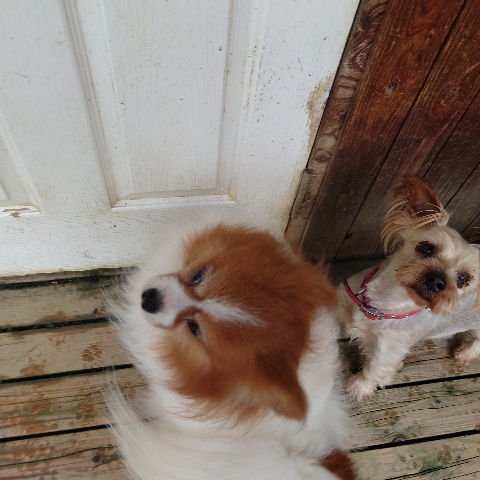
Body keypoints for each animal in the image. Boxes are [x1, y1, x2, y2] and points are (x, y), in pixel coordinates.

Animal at [339, 175, 480, 401]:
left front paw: (357, 388)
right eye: (427, 247)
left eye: (464, 279)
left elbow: (375, 371)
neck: (383, 305)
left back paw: (465, 353)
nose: (438, 281)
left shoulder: (388, 353)